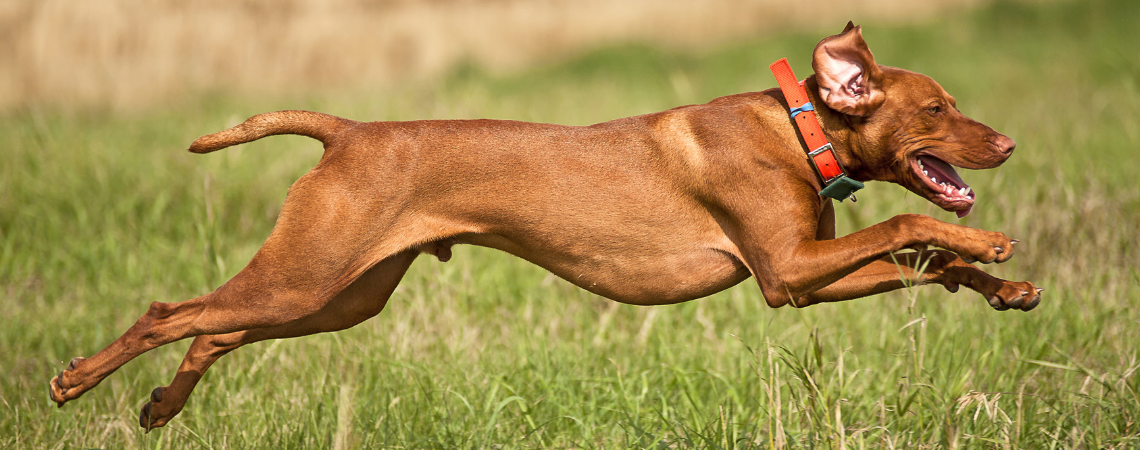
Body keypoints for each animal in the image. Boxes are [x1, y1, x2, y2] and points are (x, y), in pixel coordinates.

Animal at [46, 23, 1044, 430]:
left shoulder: (801, 279)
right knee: (173, 312)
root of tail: (351, 130)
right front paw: (993, 245)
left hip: (337, 295)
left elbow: (923, 256)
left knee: (217, 329)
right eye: (939, 108)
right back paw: (74, 380)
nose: (1009, 140)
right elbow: (913, 220)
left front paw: (1007, 286)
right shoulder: (789, 267)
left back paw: (162, 406)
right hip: (310, 275)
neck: (798, 130)